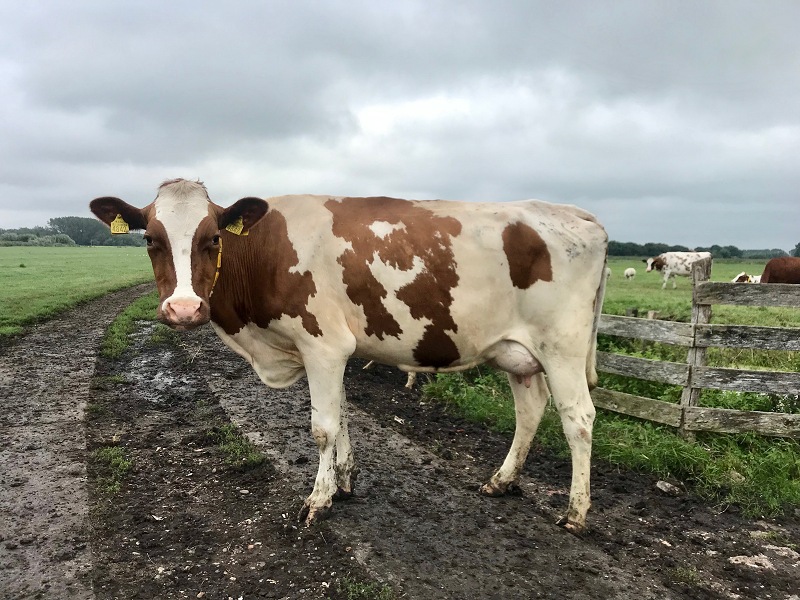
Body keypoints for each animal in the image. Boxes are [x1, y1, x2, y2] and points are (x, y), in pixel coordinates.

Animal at [90, 178, 609, 533]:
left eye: (212, 238)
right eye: (150, 239)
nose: (182, 309)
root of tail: (577, 214)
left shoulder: (323, 344)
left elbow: (323, 426)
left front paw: (318, 499)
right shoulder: (331, 351)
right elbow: (340, 415)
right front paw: (345, 481)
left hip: (562, 346)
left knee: (578, 418)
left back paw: (576, 512)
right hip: (518, 352)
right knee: (531, 409)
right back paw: (502, 480)